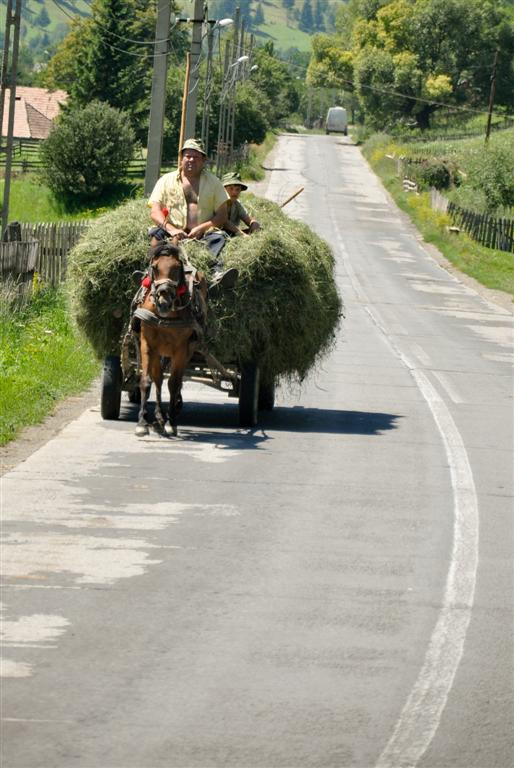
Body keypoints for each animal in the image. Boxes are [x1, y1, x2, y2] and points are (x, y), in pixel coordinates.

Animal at [132, 240, 204, 438]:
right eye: (155, 268)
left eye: (177, 268)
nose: (164, 302)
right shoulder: (147, 344)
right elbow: (146, 381)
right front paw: (142, 423)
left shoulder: (181, 350)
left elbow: (174, 383)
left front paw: (172, 423)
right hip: (158, 353)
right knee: (157, 378)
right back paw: (158, 416)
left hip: (187, 352)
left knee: (174, 381)